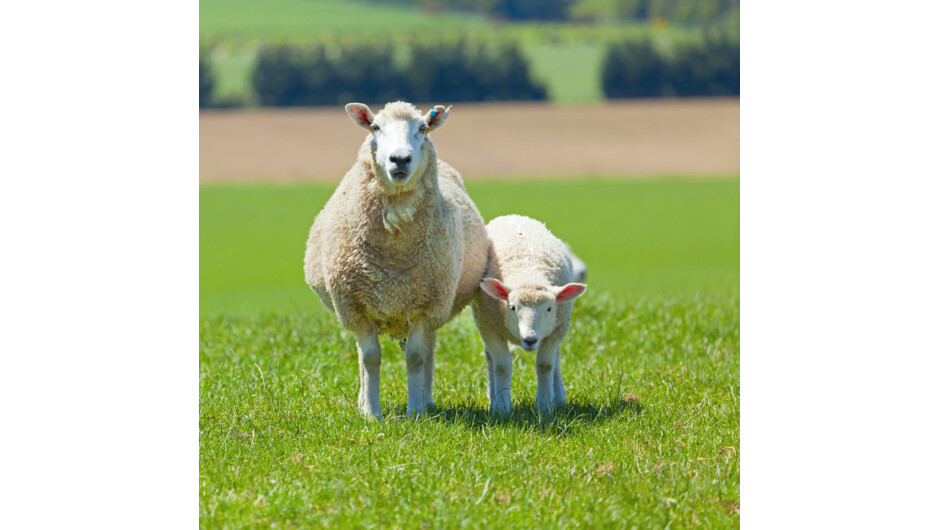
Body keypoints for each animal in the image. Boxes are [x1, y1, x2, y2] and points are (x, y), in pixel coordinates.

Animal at [304, 101, 488, 420]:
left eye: (422, 129)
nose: (400, 159)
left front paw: (415, 412)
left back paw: (426, 400)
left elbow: (415, 357)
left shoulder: (427, 305)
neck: (394, 252)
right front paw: (371, 413)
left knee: (428, 352)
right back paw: (363, 401)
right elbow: (369, 358)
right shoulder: (355, 306)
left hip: (435, 306)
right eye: (376, 127)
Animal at [471, 215, 587, 415]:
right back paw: (493, 398)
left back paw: (559, 398)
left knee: (556, 360)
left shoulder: (556, 330)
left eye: (549, 308)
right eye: (512, 307)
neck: (528, 273)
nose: (530, 339)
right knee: (490, 358)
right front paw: (501, 408)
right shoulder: (489, 327)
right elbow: (502, 366)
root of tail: (514, 216)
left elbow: (545, 365)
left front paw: (544, 407)